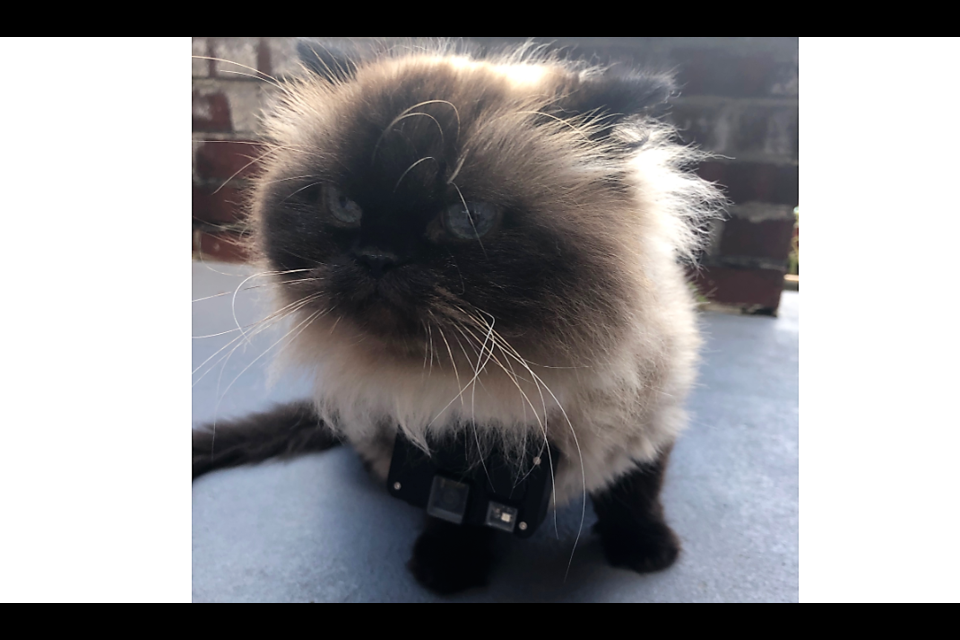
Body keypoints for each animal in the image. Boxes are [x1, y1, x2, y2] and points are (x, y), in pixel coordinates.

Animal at [193, 40, 720, 596]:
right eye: (344, 205)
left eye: (467, 219)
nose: (378, 257)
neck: (509, 393)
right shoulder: (436, 447)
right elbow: (449, 512)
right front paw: (445, 569)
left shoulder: (648, 422)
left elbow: (635, 493)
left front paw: (646, 551)